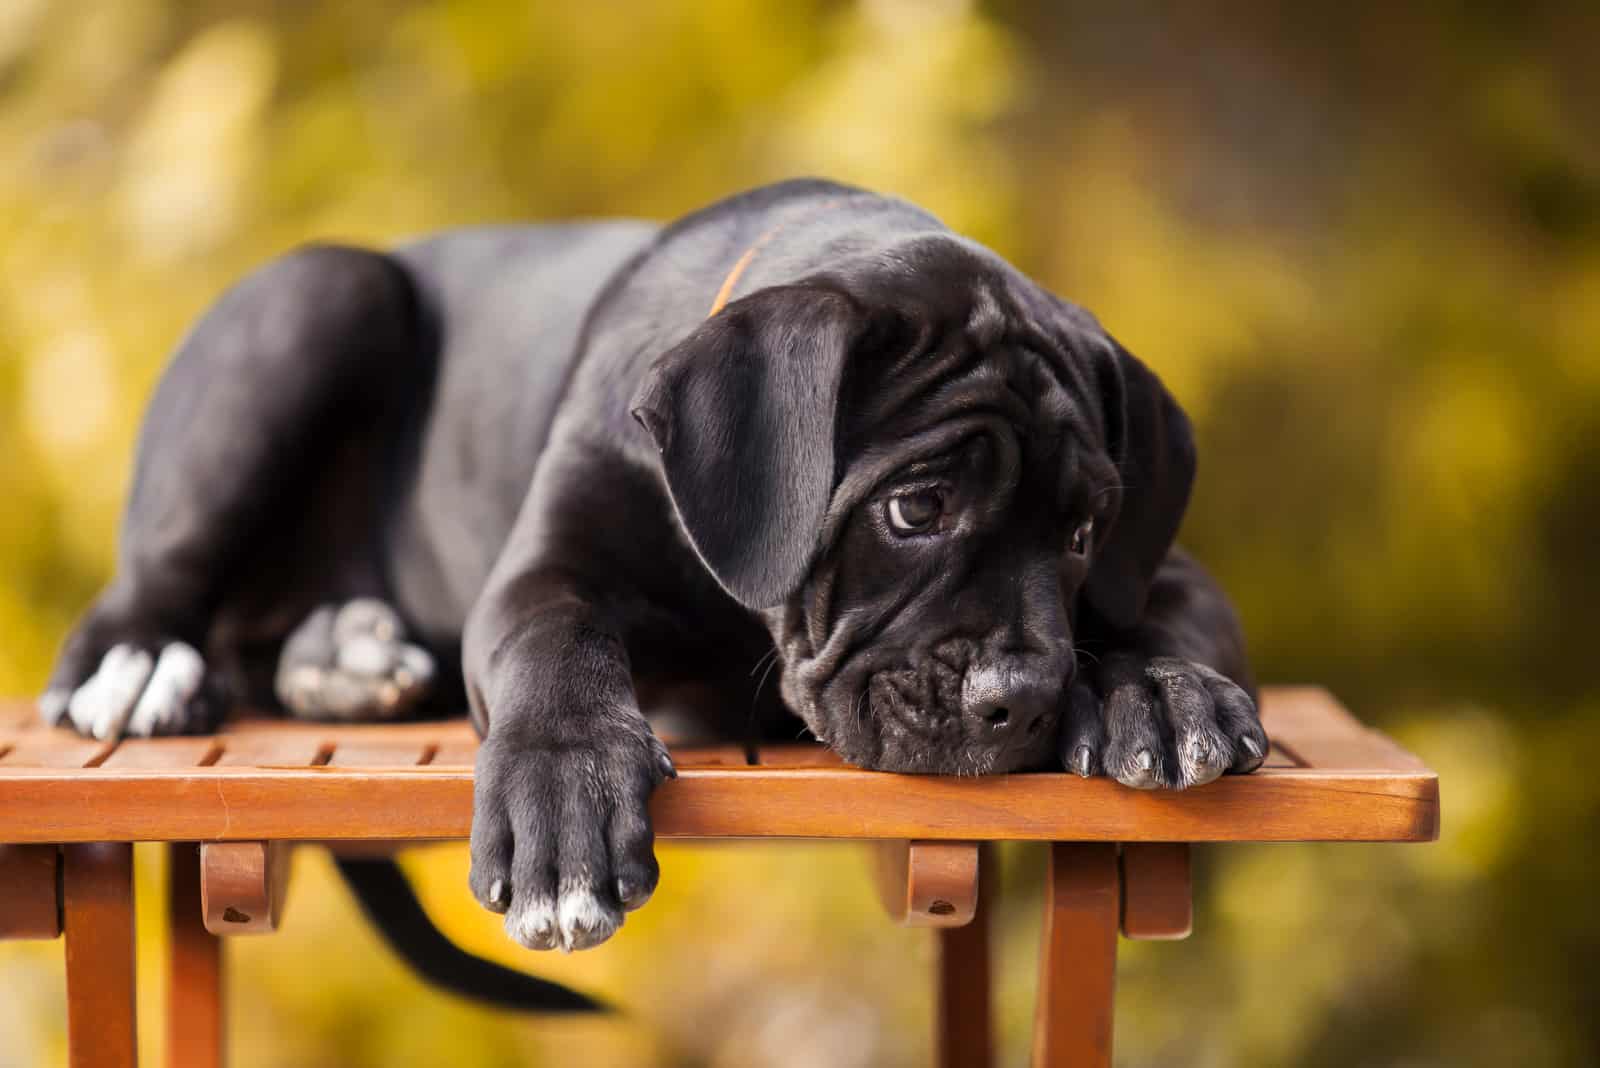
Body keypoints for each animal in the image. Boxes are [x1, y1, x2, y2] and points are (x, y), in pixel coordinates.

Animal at [43, 181, 1260, 984]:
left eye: (1085, 531)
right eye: (914, 511)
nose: (1024, 700)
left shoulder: (1154, 563)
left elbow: (1178, 607)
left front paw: (1158, 693)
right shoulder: (543, 573)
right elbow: (556, 650)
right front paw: (563, 804)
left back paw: (345, 659)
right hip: (319, 298)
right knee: (152, 592)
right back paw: (147, 667)